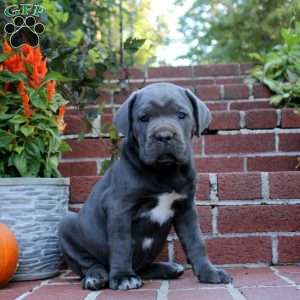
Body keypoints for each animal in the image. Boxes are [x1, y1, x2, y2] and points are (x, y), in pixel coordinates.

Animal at [58, 82, 232, 290]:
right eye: (144, 118)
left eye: (181, 115)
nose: (164, 136)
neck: (165, 171)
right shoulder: (119, 207)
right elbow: (122, 244)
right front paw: (123, 277)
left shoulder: (186, 209)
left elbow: (196, 241)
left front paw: (209, 272)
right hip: (67, 226)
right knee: (88, 263)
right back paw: (96, 277)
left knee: (143, 268)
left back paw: (169, 268)